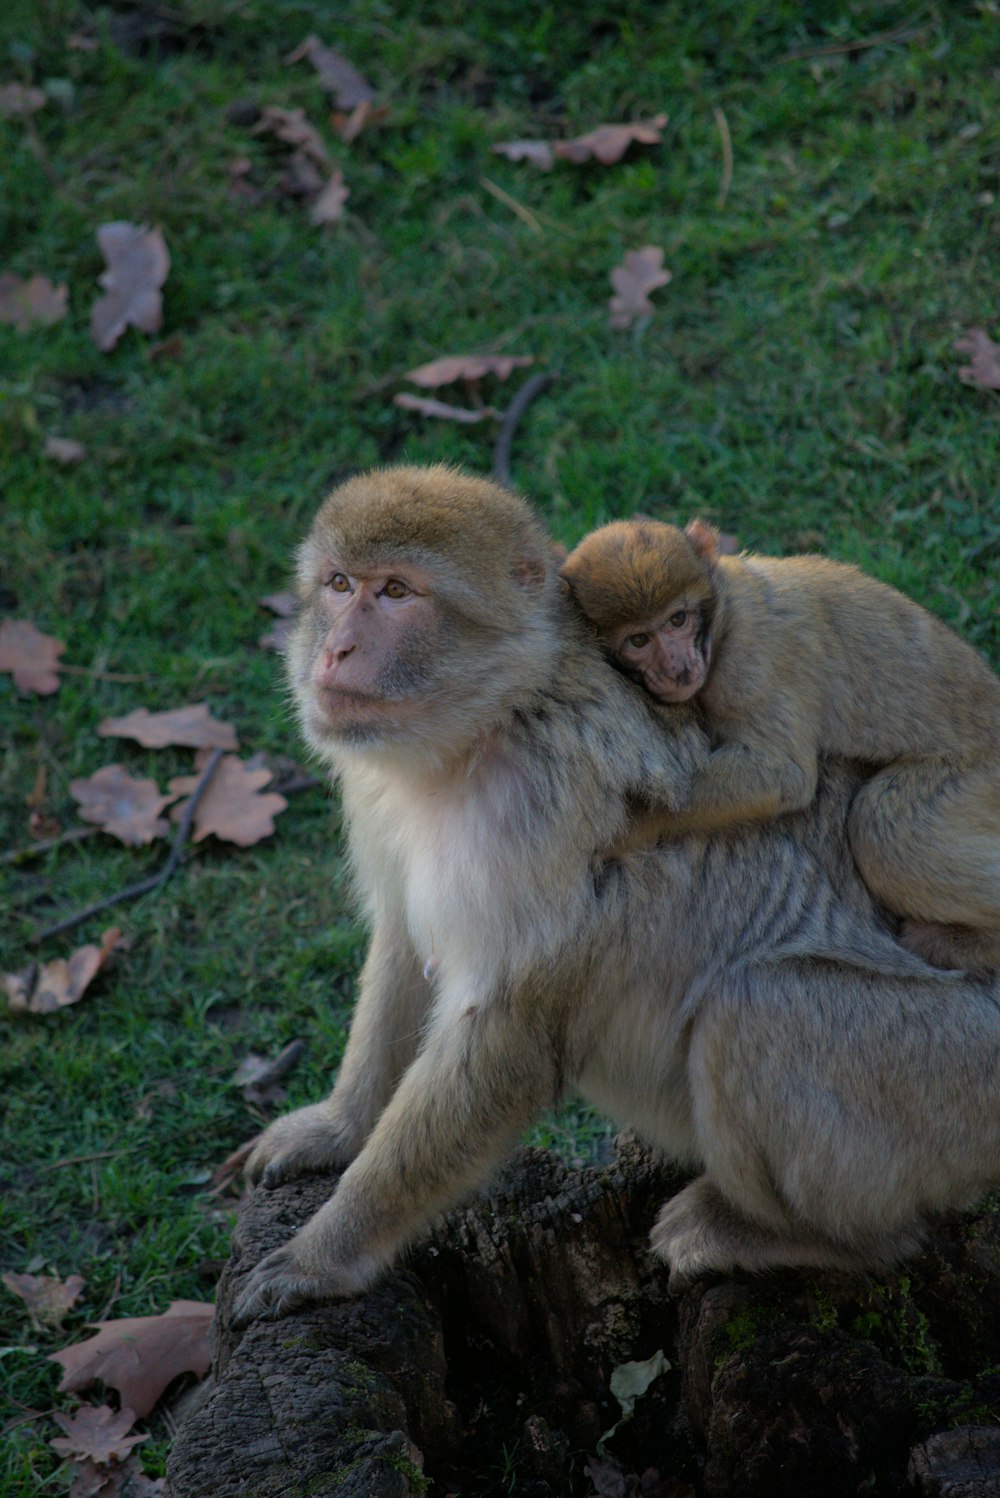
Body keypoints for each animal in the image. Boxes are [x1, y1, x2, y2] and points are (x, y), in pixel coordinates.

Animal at [562, 521, 999, 970]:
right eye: (638, 640)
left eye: (677, 620)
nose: (676, 668)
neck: (724, 613)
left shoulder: (748, 661)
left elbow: (782, 775)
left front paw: (629, 827)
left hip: (979, 775)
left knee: (883, 826)